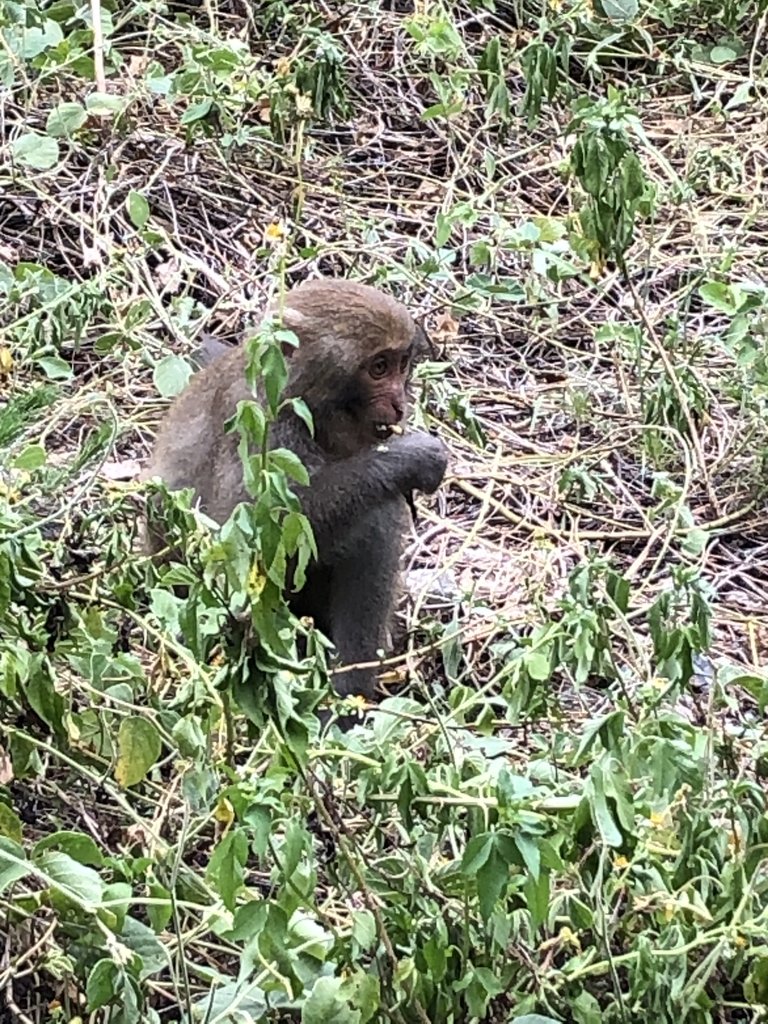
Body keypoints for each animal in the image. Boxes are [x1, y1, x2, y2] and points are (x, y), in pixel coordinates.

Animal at [141, 276, 448, 700]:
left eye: (401, 366)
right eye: (378, 368)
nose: (400, 404)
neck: (307, 405)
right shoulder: (263, 427)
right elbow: (248, 537)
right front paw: (411, 459)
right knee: (377, 517)